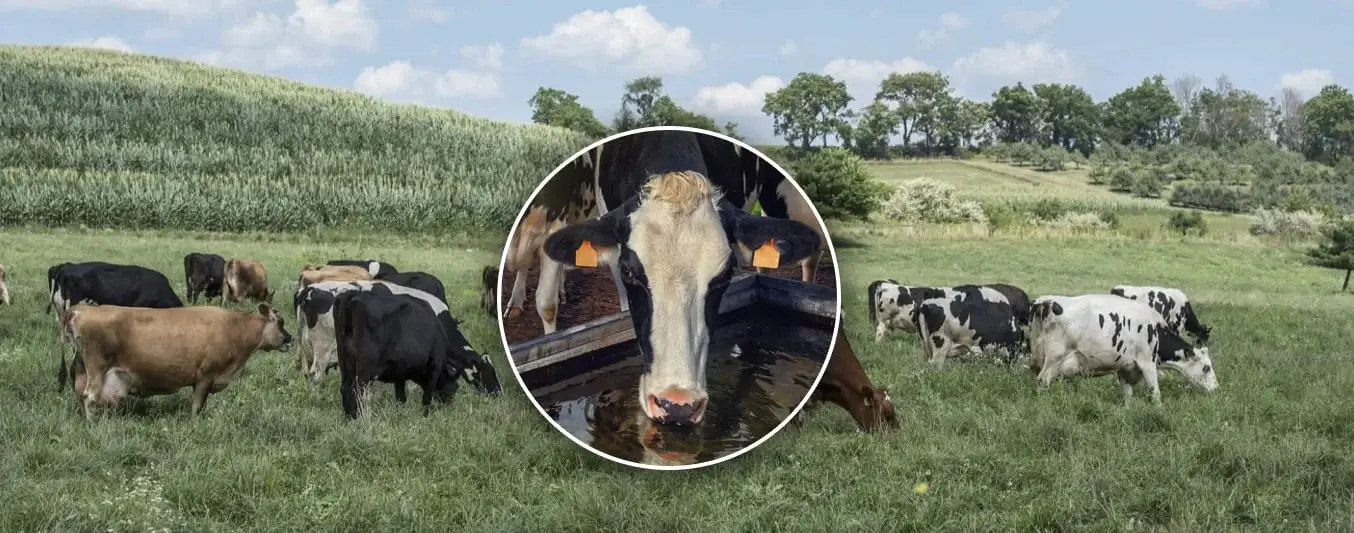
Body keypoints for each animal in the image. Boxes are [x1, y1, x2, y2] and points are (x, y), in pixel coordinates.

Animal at [64, 301, 292, 419]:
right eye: (280, 322)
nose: (291, 338)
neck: (236, 327)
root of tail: (81, 309)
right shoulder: (206, 376)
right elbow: (197, 405)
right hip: (97, 368)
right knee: (89, 397)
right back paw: (92, 423)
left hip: (84, 369)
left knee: (80, 394)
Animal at [292, 281, 503, 392]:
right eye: (486, 372)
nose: (498, 393)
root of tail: (310, 289)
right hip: (323, 348)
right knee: (316, 374)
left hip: (306, 345)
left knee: (306, 371)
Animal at [1023, 290, 1218, 403]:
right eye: (1206, 368)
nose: (1216, 388)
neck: (1156, 330)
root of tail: (1044, 302)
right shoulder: (1147, 363)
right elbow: (1155, 394)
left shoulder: (1125, 368)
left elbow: (1127, 397)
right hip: (1054, 359)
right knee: (1043, 381)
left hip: (1037, 358)